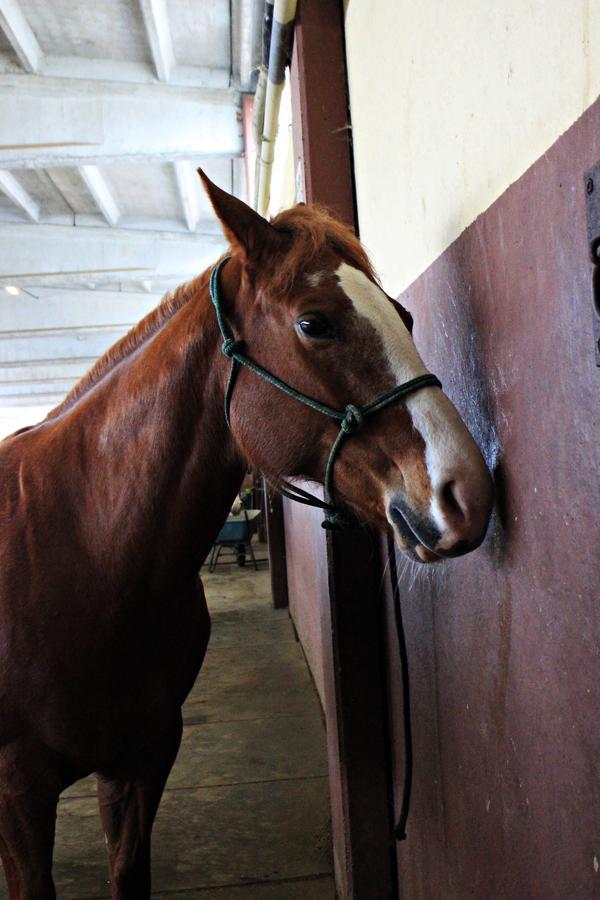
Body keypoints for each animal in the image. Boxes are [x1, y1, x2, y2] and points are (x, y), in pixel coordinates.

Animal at [0, 171, 492, 900]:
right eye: (315, 322)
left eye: (404, 317)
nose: (469, 492)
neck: (86, 552)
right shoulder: (20, 793)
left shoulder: (141, 764)